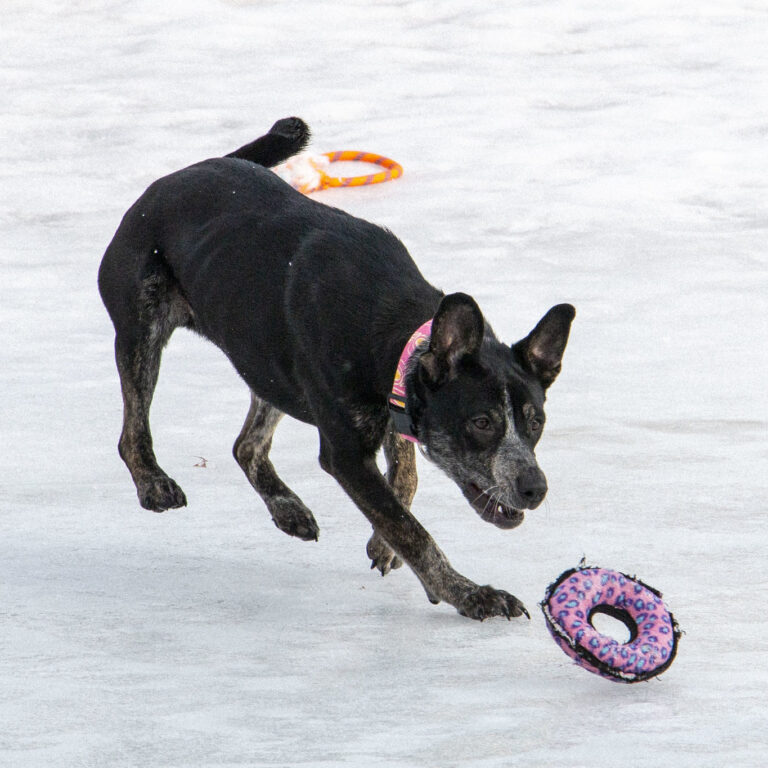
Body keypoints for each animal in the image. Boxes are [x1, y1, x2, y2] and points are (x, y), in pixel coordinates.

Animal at [96, 120, 572, 624]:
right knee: (133, 431)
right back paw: (153, 483)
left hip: (267, 365)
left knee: (246, 446)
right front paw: (470, 593)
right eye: (481, 422)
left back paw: (286, 506)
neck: (391, 328)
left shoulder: (392, 407)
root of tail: (175, 176)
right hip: (141, 329)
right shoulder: (346, 453)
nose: (535, 488)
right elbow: (411, 530)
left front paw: (384, 546)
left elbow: (403, 483)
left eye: (536, 421)